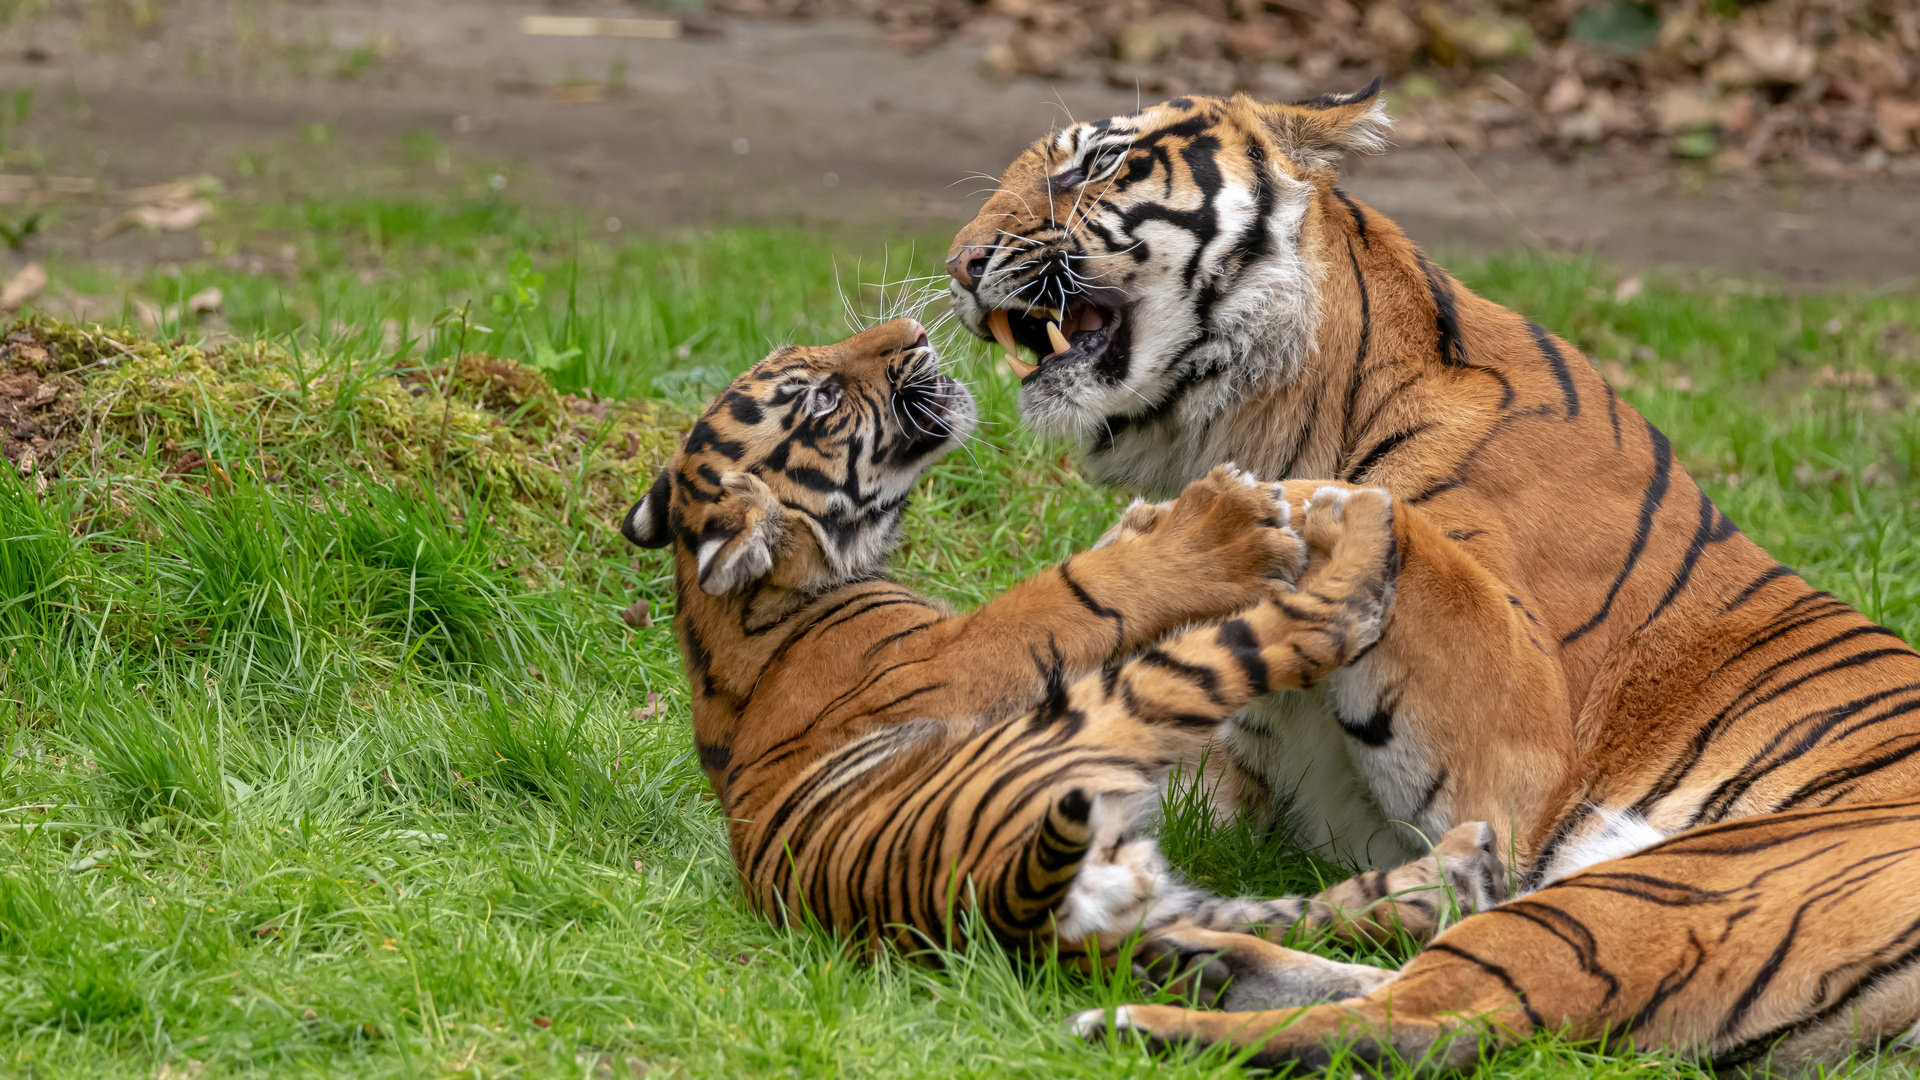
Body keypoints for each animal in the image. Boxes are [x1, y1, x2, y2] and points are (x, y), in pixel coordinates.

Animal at [622, 315, 1505, 980]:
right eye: (822, 396)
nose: (913, 330)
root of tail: (1010, 908)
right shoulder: (957, 658)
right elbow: (1069, 593)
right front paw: (1218, 530)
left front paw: (1153, 518)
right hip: (1104, 719)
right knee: (1308, 630)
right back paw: (1361, 520)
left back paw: (1458, 872)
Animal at [948, 82, 1920, 1060]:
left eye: (1100, 163)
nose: (960, 266)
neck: (1286, 404)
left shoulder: (1520, 775)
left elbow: (1387, 522)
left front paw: (1264, 510)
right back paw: (1182, 959)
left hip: (1674, 882)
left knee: (1422, 1019)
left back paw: (1138, 1010)